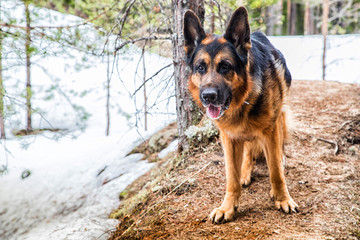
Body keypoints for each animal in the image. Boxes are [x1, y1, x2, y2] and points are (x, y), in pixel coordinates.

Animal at [184, 7, 300, 225]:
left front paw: (282, 198)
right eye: (200, 67)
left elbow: (276, 172)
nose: (208, 96)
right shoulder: (228, 138)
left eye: (225, 66)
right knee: (248, 151)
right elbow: (232, 177)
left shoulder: (270, 131)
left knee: (278, 150)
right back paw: (246, 172)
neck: (244, 100)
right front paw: (228, 207)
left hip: (279, 117)